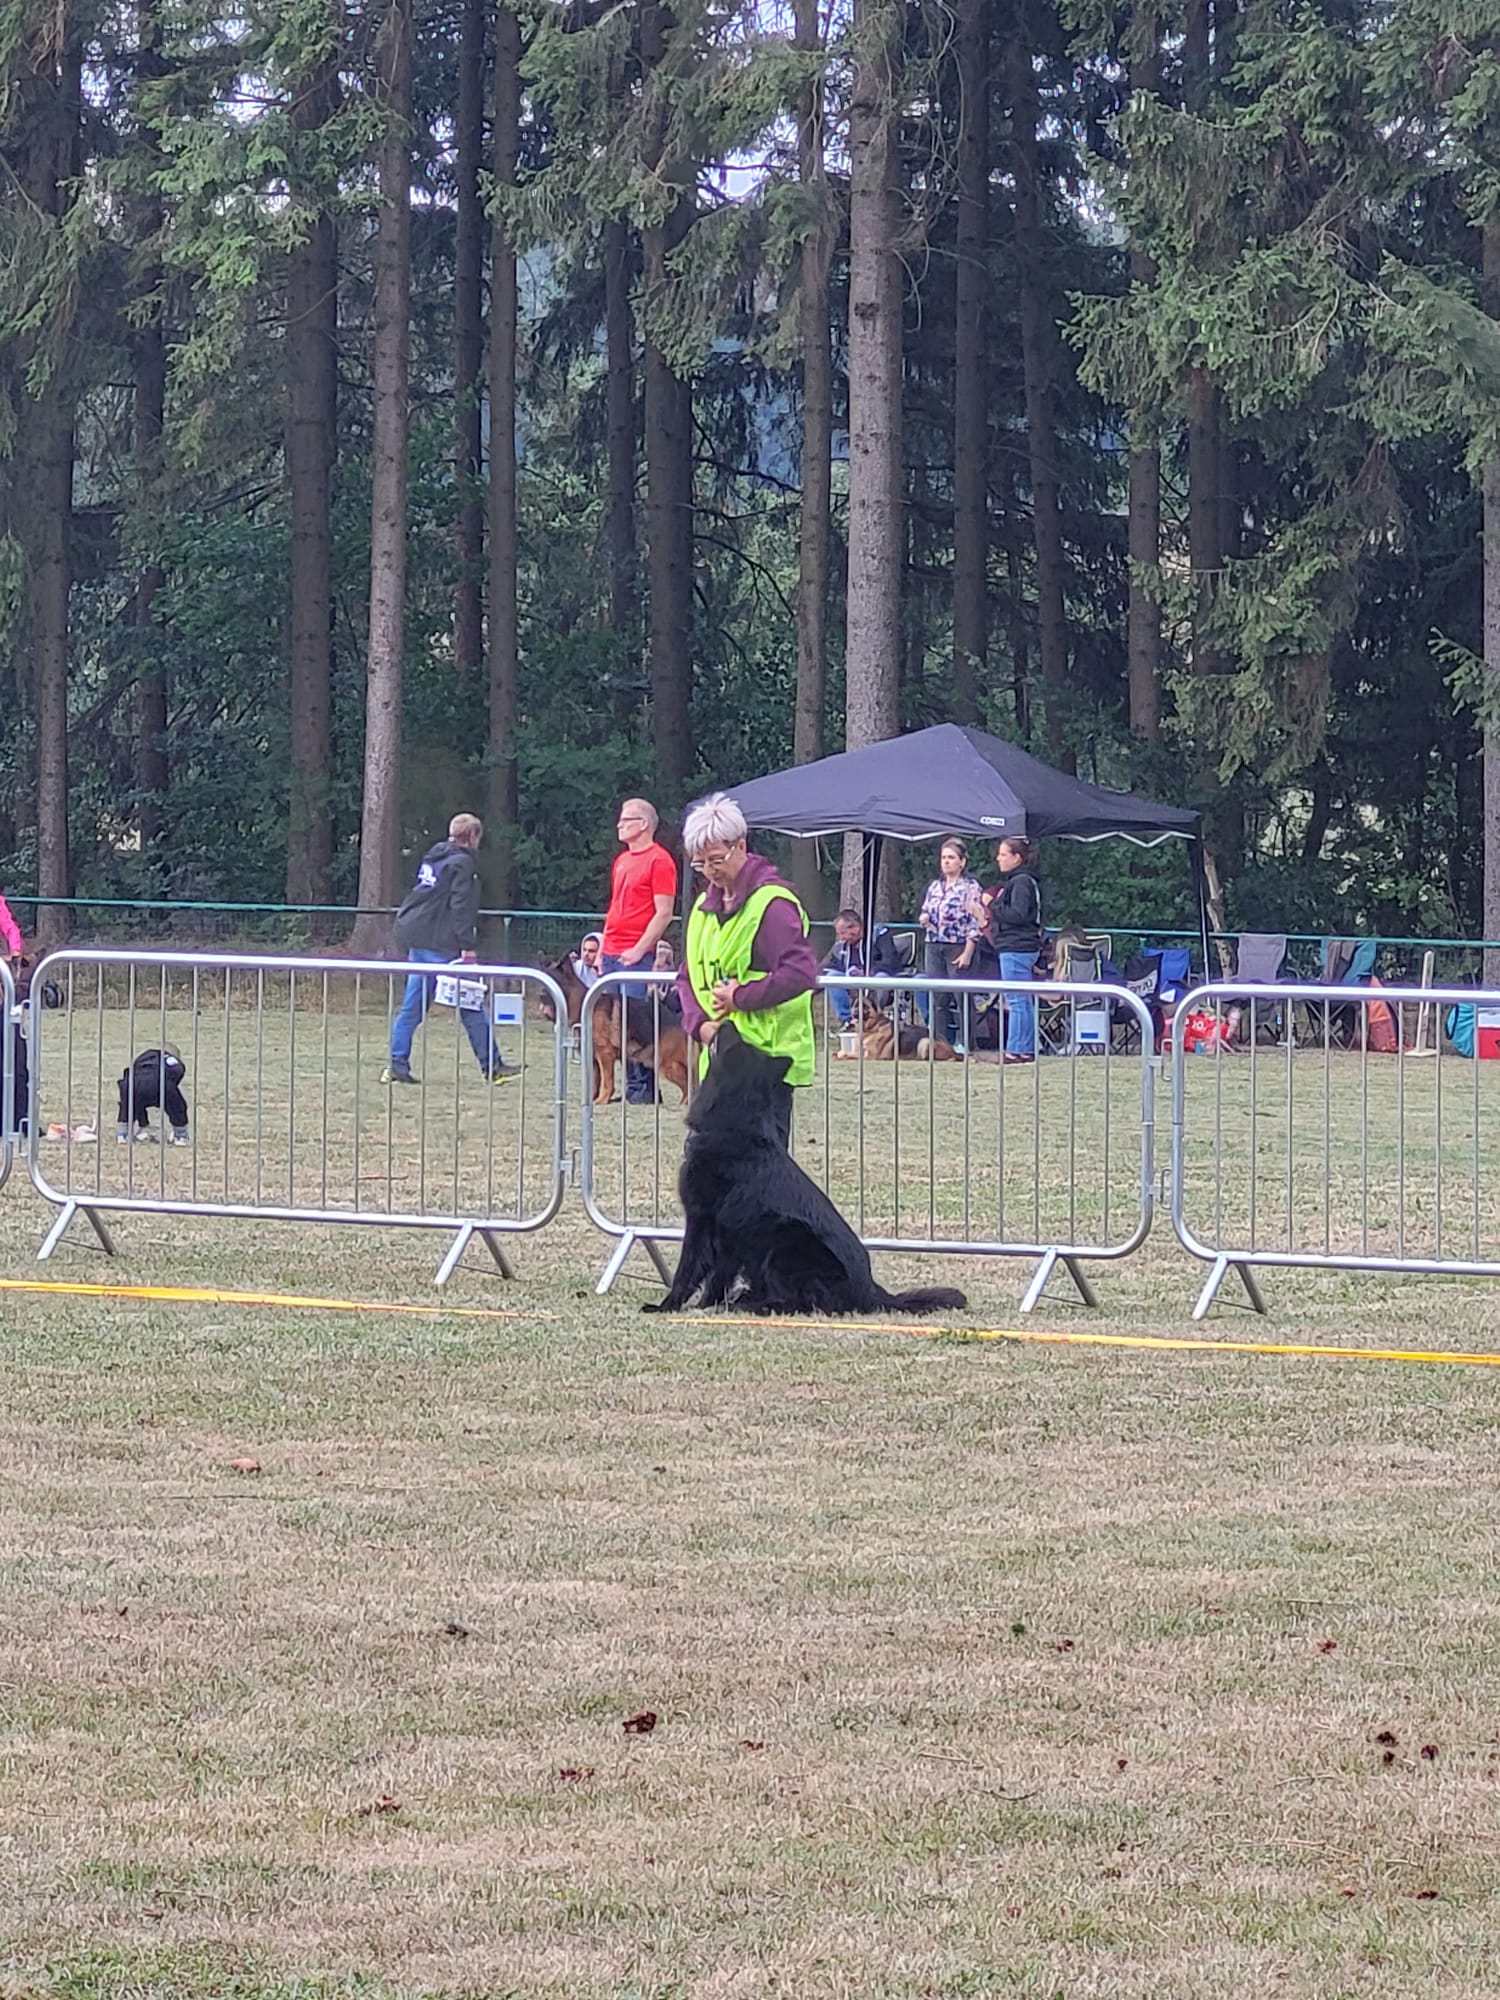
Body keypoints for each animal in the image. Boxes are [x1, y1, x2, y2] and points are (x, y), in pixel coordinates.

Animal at [544, 952, 696, 1112]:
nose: (541, 1003)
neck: (582, 1004)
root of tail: (680, 1020)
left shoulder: (605, 1055)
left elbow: (607, 1081)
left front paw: (603, 1100)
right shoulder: (593, 1058)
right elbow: (595, 1082)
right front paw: (591, 1100)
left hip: (665, 1064)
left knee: (689, 1085)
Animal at [648, 1024, 976, 1320]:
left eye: (735, 1041)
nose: (726, 1021)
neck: (734, 1126)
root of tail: (872, 1292)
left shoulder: (704, 1222)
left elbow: (688, 1270)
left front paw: (668, 1307)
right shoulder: (729, 1238)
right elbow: (717, 1278)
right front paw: (706, 1305)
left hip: (784, 1241)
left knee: (802, 1303)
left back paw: (750, 1305)